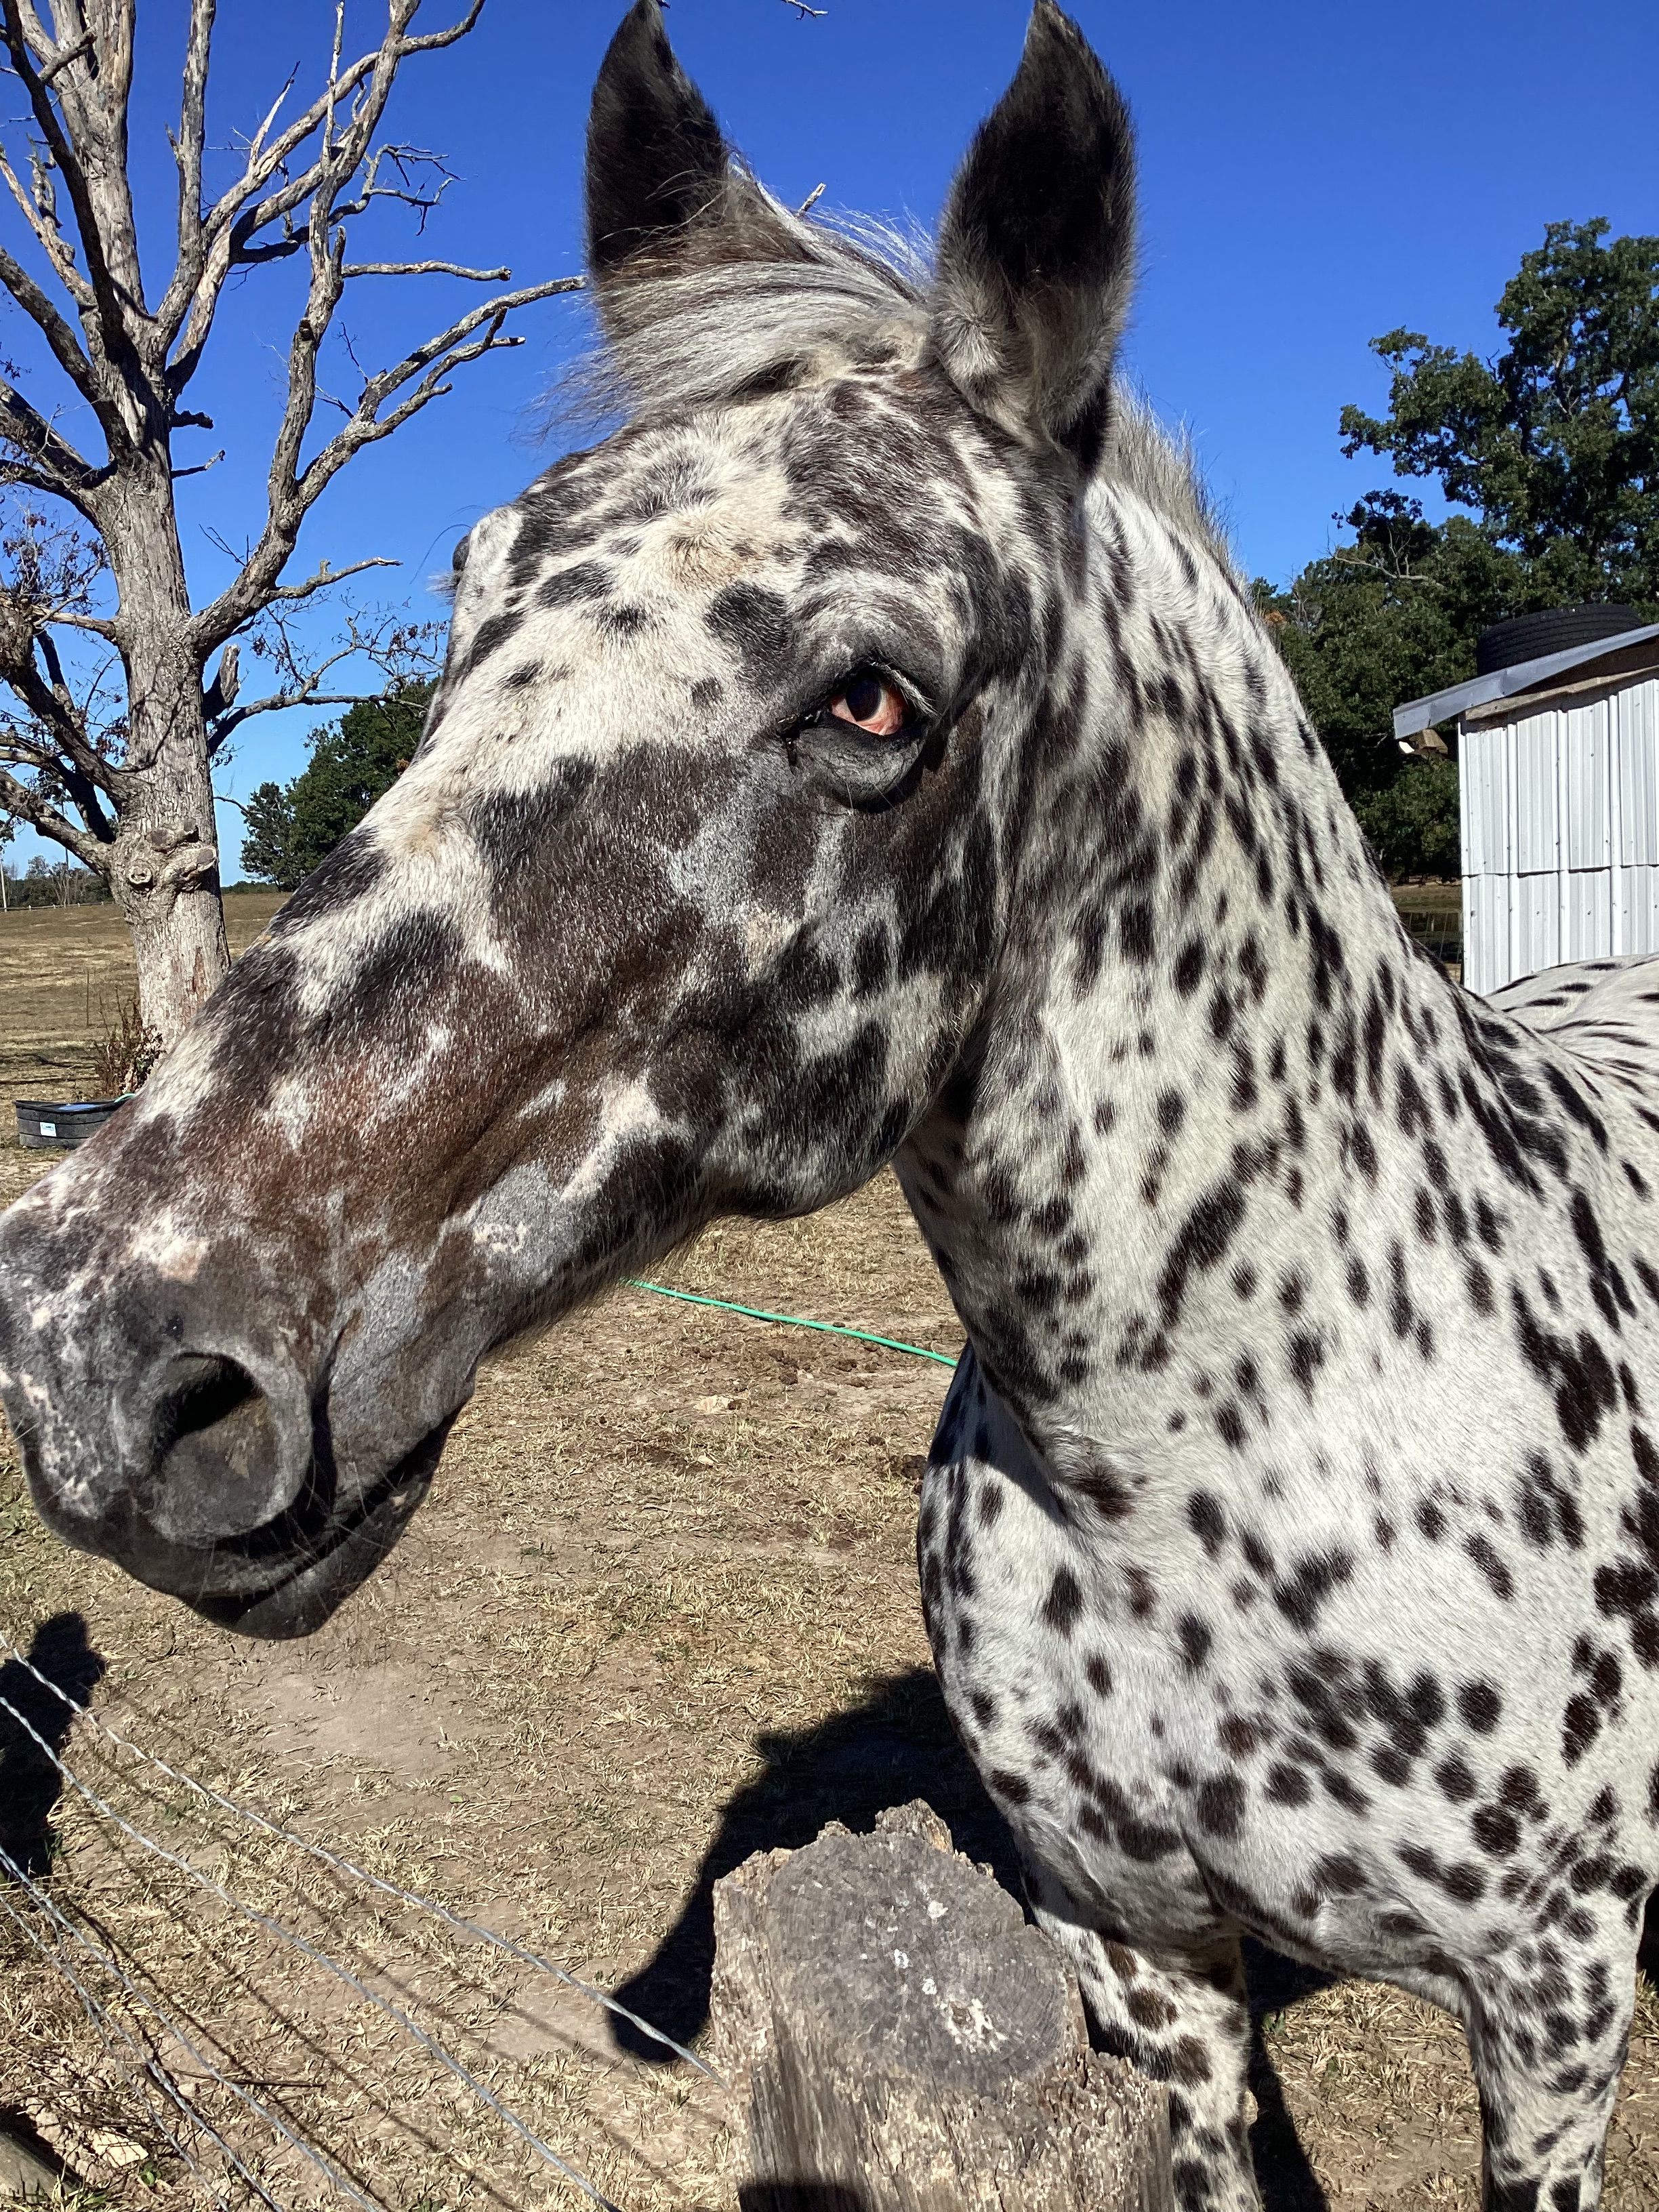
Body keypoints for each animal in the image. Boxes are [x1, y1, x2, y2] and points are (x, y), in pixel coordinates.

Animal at [4, 6, 1659, 2205]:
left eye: (874, 699)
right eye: (471, 603)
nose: (100, 1356)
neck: (1253, 1447)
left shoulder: (1549, 2005)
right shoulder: (1140, 1954)